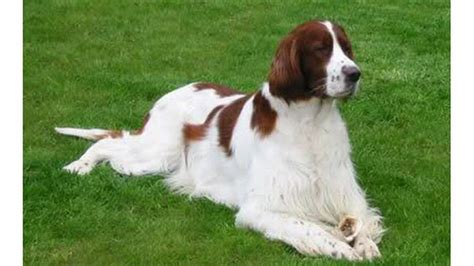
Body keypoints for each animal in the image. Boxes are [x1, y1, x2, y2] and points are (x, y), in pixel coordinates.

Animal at [55, 20, 384, 260]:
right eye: (321, 49)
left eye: (347, 48)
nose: (355, 73)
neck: (310, 123)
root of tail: (170, 93)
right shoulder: (261, 207)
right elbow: (307, 227)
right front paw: (340, 247)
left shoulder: (343, 192)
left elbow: (359, 220)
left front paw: (362, 242)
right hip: (154, 154)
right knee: (108, 143)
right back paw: (78, 166)